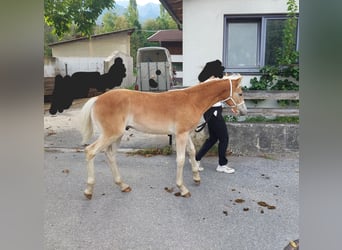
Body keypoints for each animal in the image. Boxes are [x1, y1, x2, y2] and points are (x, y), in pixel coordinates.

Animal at [79, 74, 247, 199]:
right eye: (240, 93)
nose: (244, 111)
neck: (192, 100)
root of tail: (97, 99)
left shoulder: (186, 133)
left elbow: (192, 152)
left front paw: (196, 178)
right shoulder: (181, 135)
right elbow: (180, 159)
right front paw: (183, 188)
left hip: (117, 135)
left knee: (110, 155)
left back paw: (123, 185)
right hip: (111, 134)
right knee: (90, 151)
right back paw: (88, 190)